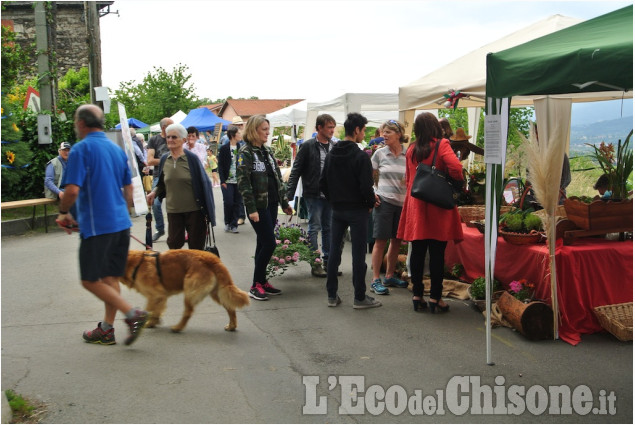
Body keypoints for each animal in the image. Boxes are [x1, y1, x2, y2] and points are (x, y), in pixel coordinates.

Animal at [120, 248, 250, 332]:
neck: (135, 264)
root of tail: (212, 259)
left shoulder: (156, 295)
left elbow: (149, 311)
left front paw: (143, 323)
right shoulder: (159, 297)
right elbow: (155, 311)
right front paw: (152, 322)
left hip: (190, 291)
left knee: (188, 312)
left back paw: (178, 328)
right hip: (217, 293)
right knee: (230, 308)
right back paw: (232, 326)